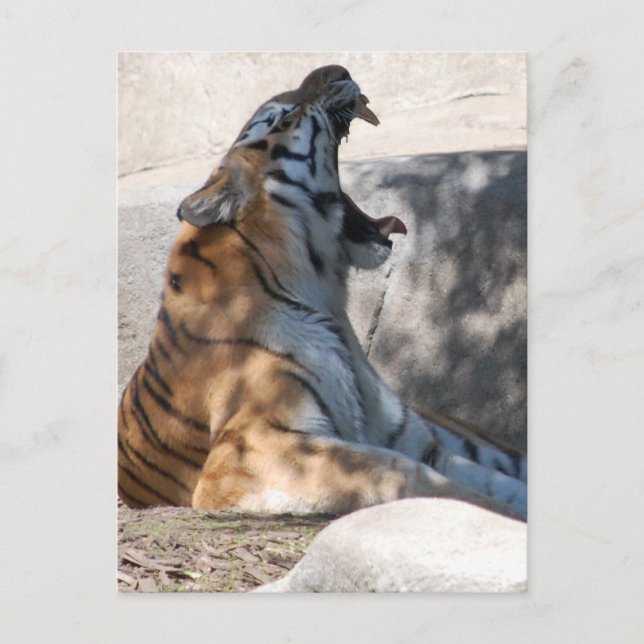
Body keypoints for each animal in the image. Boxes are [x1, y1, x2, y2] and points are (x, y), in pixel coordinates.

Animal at [118, 64, 527, 520]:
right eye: (281, 117)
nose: (338, 70)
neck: (325, 298)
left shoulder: (418, 441)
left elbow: (494, 482)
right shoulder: (252, 449)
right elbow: (401, 473)